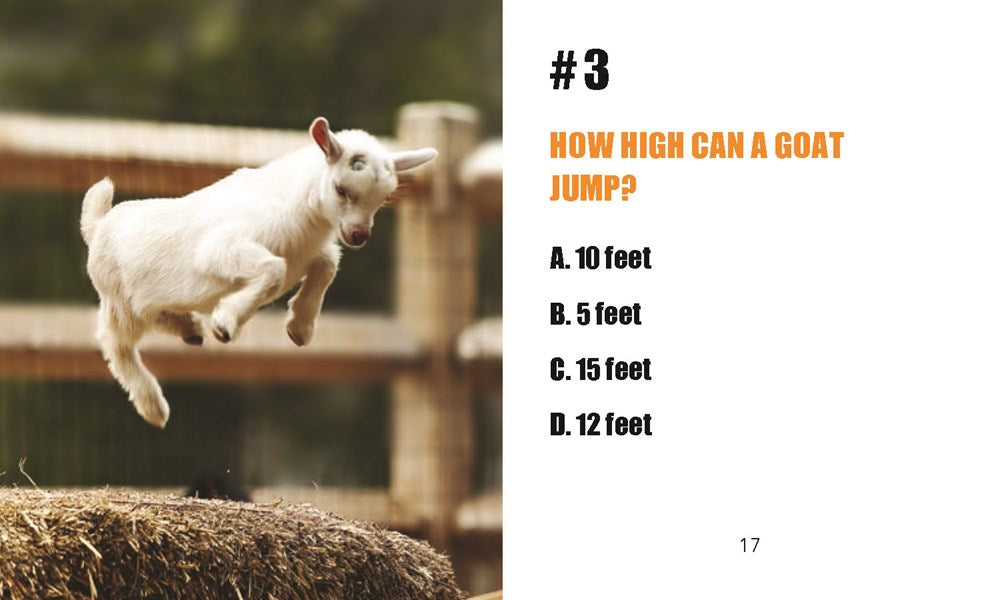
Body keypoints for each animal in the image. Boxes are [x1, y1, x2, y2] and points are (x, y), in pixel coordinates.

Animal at [80, 117, 437, 427]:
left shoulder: (310, 253)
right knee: (115, 345)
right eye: (341, 189)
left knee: (154, 315)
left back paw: (189, 329)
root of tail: (99, 225)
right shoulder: (220, 248)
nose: (358, 235)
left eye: (383, 198)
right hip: (119, 301)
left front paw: (300, 327)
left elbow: (327, 266)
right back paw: (153, 406)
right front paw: (226, 324)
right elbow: (274, 270)